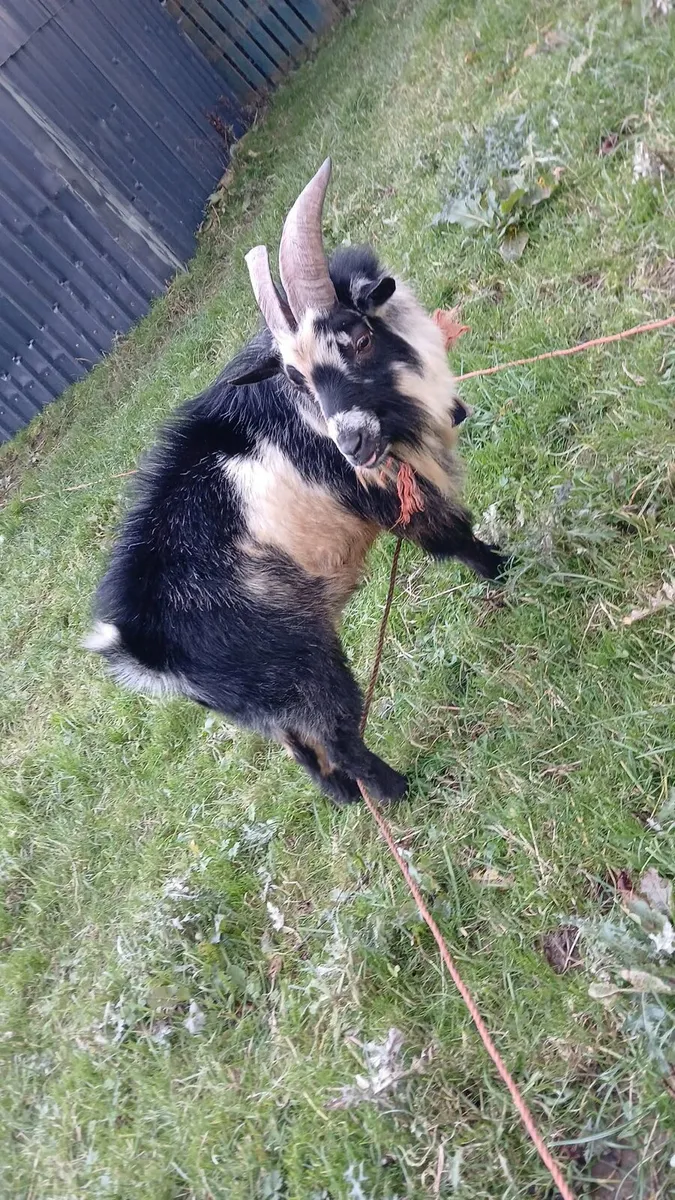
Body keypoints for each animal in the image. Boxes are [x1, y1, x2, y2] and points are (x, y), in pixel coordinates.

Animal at [86, 160, 508, 807]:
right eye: (298, 379)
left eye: (358, 338)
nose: (352, 445)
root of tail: (140, 645)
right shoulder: (397, 486)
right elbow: (453, 537)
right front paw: (506, 570)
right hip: (297, 663)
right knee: (335, 735)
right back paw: (394, 790)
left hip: (259, 700)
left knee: (297, 747)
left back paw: (344, 798)